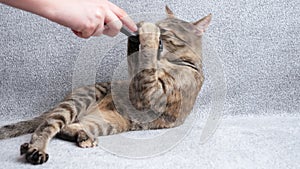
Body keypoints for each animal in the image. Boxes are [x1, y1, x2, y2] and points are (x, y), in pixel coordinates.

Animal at [0, 6, 211, 165]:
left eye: (166, 31)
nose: (158, 28)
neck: (172, 61)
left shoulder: (150, 94)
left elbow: (146, 59)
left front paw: (147, 32)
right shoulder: (138, 83)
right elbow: (137, 57)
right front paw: (138, 30)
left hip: (110, 123)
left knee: (65, 128)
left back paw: (80, 138)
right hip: (82, 100)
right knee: (47, 126)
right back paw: (36, 148)